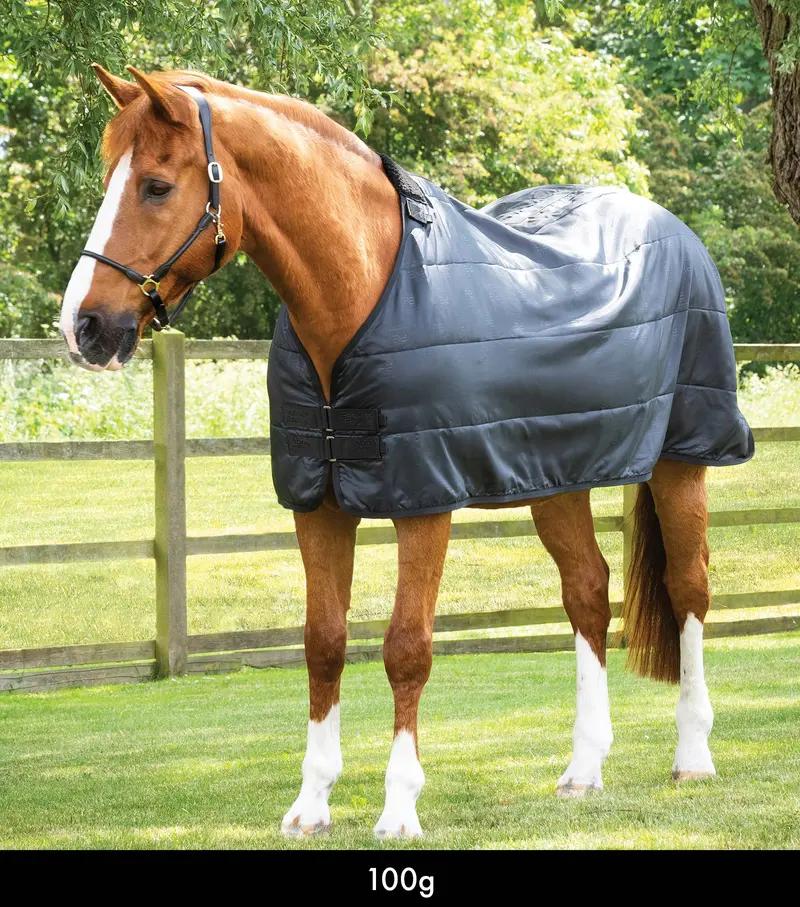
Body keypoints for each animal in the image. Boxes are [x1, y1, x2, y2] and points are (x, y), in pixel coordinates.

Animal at [59, 65, 753, 839]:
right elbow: (324, 642)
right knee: (587, 592)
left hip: (682, 459)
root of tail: (674, 230)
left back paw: (692, 756)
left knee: (690, 588)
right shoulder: (318, 504)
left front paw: (398, 808)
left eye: (155, 185)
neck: (363, 293)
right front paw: (311, 804)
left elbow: (406, 648)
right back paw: (583, 769)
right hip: (555, 477)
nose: (83, 326)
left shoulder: (424, 501)